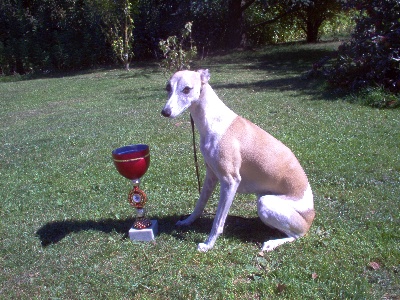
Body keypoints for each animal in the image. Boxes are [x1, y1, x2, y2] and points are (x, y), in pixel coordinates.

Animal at [161, 69, 314, 252]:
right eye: (168, 88)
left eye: (186, 89)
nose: (165, 112)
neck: (213, 120)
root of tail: (311, 215)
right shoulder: (211, 175)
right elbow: (199, 204)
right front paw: (187, 221)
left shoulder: (230, 181)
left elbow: (218, 221)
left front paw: (208, 244)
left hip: (265, 203)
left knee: (297, 235)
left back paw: (271, 243)